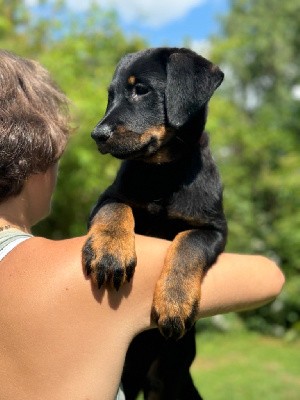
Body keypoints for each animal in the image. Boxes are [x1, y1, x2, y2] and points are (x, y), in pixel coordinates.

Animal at [82, 47, 227, 400]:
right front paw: (110, 254)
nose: (97, 135)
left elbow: (188, 244)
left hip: (170, 377)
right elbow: (117, 210)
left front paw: (174, 302)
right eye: (110, 95)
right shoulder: (108, 197)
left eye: (141, 89)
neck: (163, 173)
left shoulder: (214, 228)